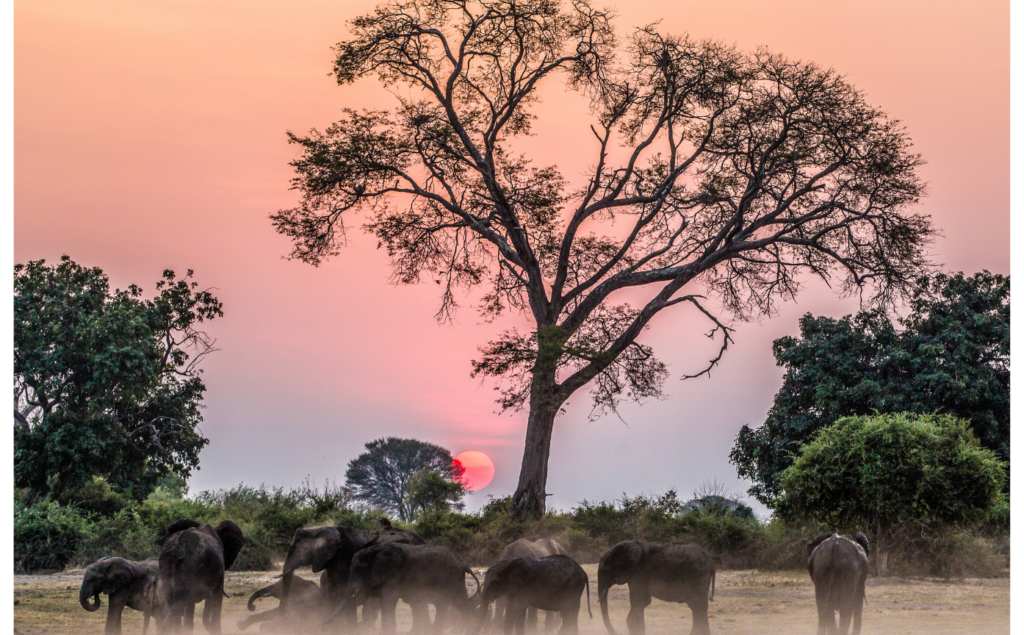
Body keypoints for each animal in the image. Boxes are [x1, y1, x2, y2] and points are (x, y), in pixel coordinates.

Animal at [278, 519, 425, 628]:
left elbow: (343, 592)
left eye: (294, 549)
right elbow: (334, 593)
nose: (285, 621)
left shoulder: (344, 559)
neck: (321, 529)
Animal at [331, 542, 482, 635]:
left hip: (452, 579)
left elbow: (388, 602)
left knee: (459, 604)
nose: (324, 624)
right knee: (444, 606)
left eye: (359, 570)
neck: (374, 551)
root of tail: (463, 564)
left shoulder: (393, 576)